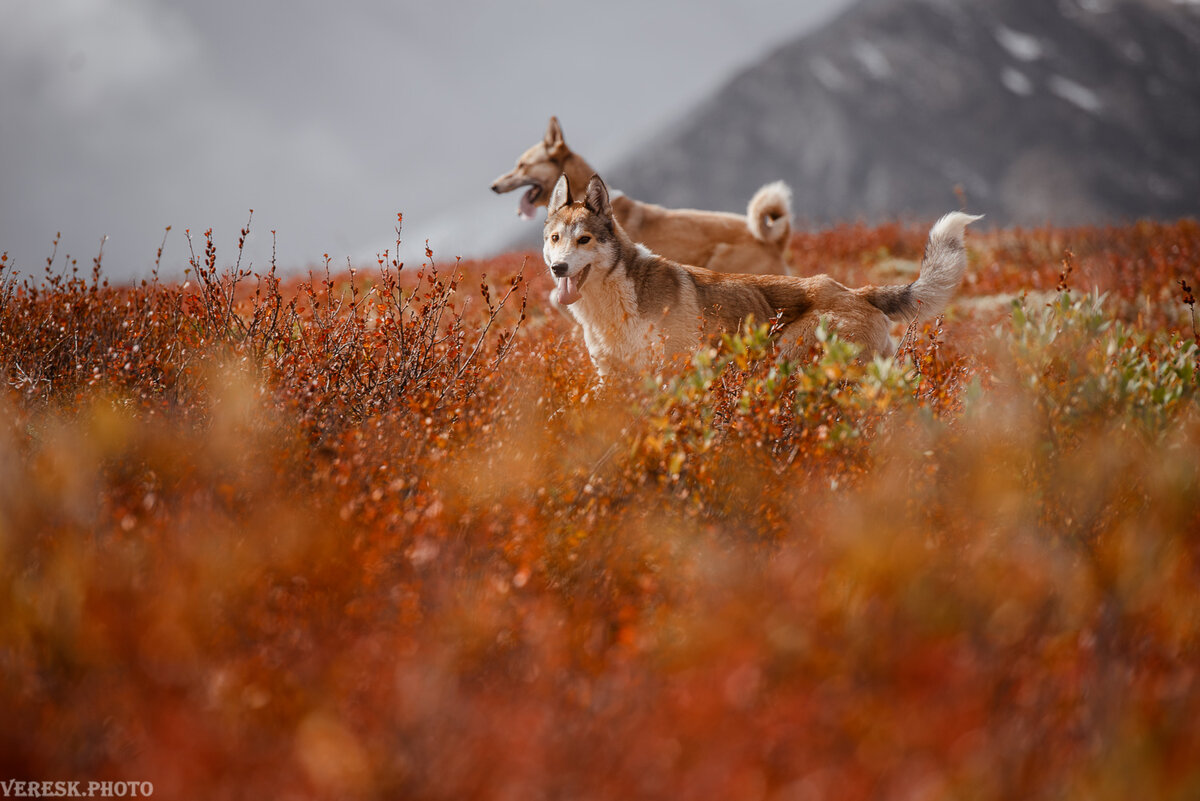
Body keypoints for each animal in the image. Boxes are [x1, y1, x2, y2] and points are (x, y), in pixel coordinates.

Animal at [544, 172, 984, 378]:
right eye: (555, 238)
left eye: (584, 239)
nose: (557, 267)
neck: (616, 300)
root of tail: (857, 292)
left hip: (794, 353)